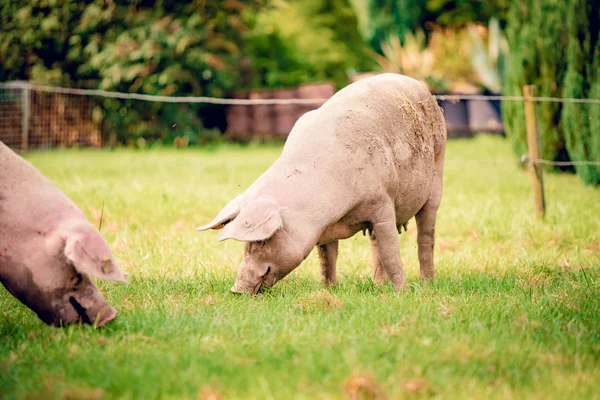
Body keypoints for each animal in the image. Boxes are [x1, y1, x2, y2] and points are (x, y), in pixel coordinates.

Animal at [197, 73, 446, 294]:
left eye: (263, 241)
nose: (236, 290)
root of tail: (420, 86)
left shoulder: (382, 202)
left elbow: (391, 250)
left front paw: (401, 292)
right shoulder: (323, 230)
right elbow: (327, 258)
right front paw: (328, 290)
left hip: (437, 170)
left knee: (426, 234)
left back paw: (427, 282)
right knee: (376, 243)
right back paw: (377, 284)